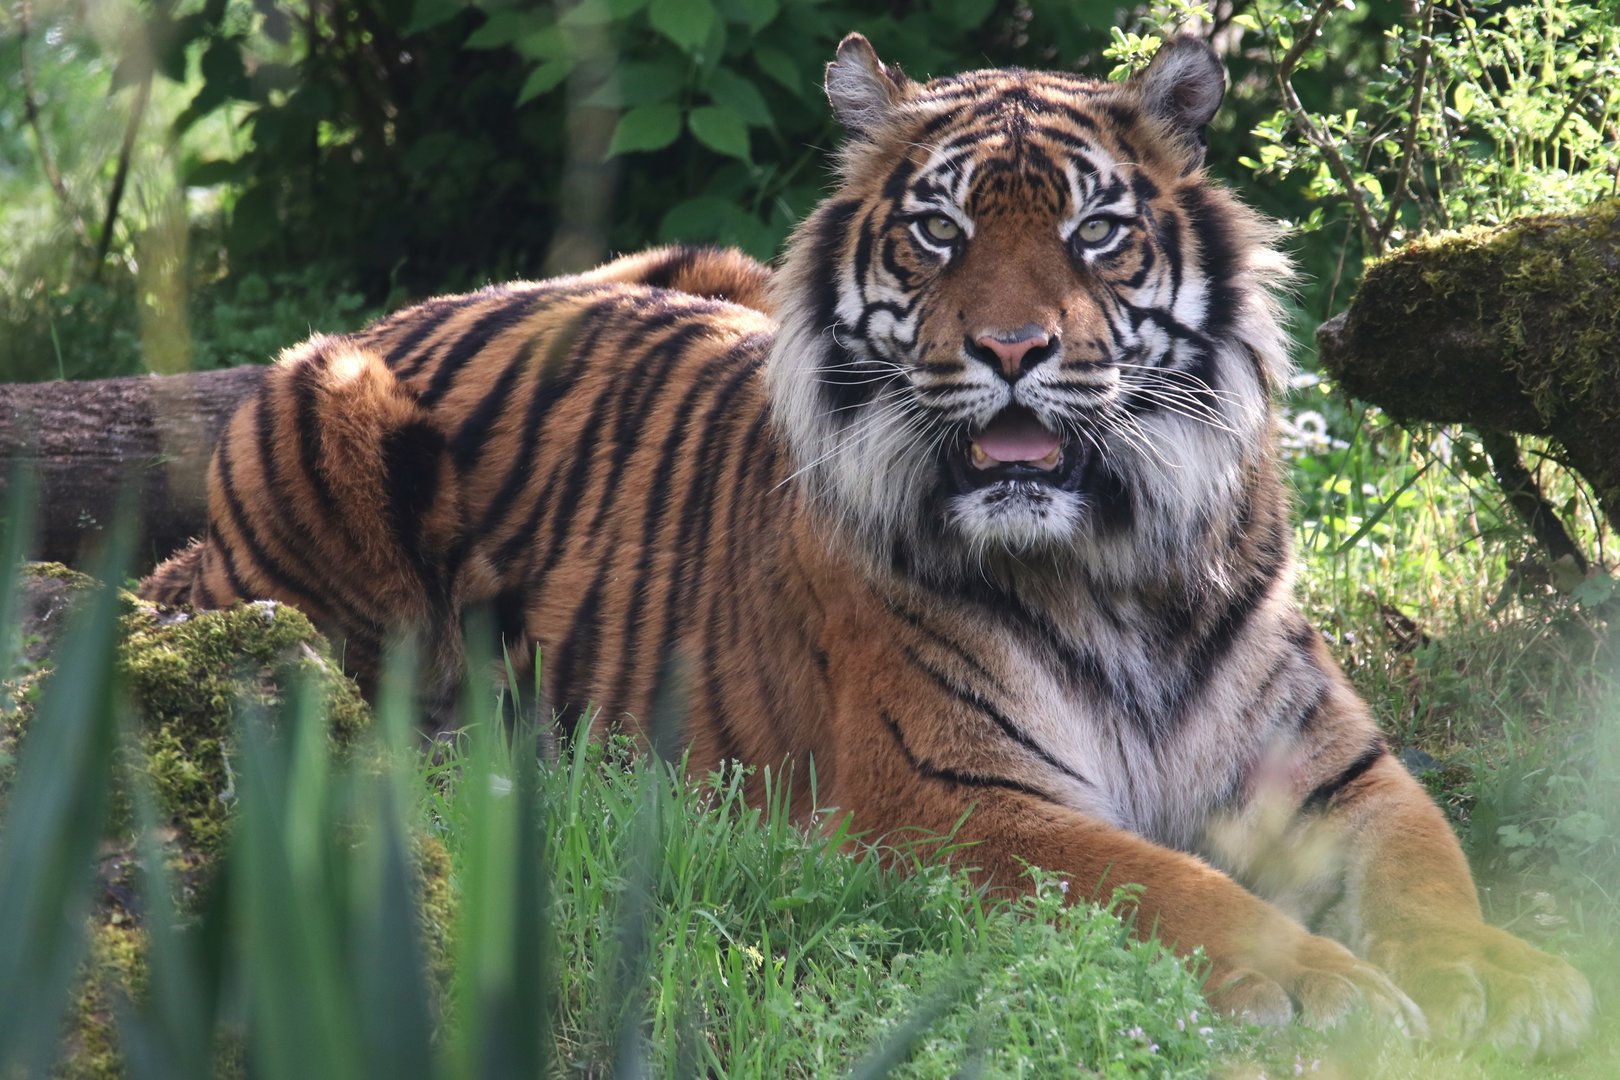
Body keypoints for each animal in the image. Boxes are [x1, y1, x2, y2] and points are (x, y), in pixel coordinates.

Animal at [142, 34, 1592, 1052]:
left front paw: (1511, 983)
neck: (1115, 562)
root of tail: (420, 307)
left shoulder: (1338, 774)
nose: (1011, 351)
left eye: (1096, 232)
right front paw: (1326, 996)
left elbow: (1433, 873)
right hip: (323, 416)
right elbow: (1174, 886)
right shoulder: (953, 797)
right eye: (939, 232)